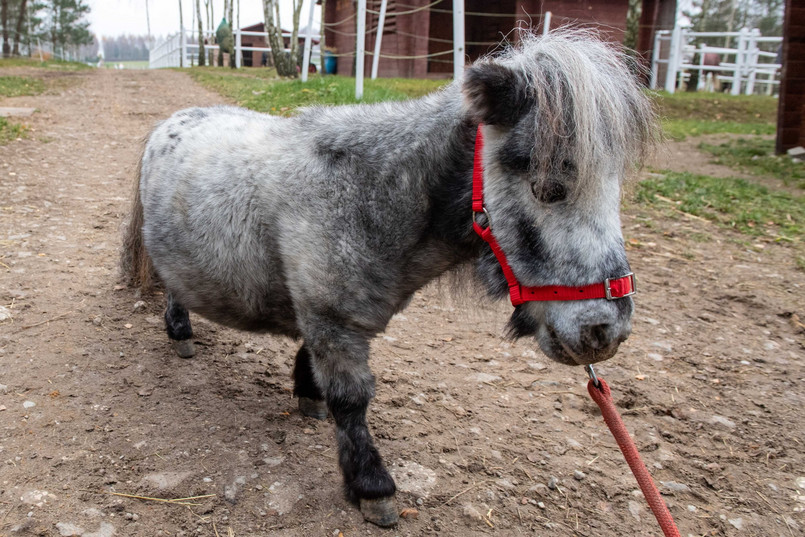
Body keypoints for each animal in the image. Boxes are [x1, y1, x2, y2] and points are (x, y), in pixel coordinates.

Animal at [121, 28, 652, 524]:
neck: (369, 191)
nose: (605, 331)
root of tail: (169, 124)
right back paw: (180, 333)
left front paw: (307, 395)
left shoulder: (320, 313)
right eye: (546, 186)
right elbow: (351, 401)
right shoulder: (332, 320)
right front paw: (372, 487)